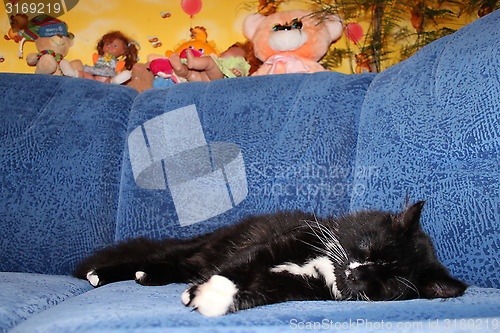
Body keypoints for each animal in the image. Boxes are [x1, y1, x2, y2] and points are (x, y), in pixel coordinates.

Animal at [75, 201, 468, 316]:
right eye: (370, 249)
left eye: (388, 283)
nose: (358, 275)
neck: (325, 268)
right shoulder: (286, 242)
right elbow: (240, 265)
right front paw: (205, 293)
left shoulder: (290, 286)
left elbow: (256, 290)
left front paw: (213, 300)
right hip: (204, 246)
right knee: (166, 257)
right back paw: (100, 274)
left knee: (172, 267)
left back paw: (146, 277)